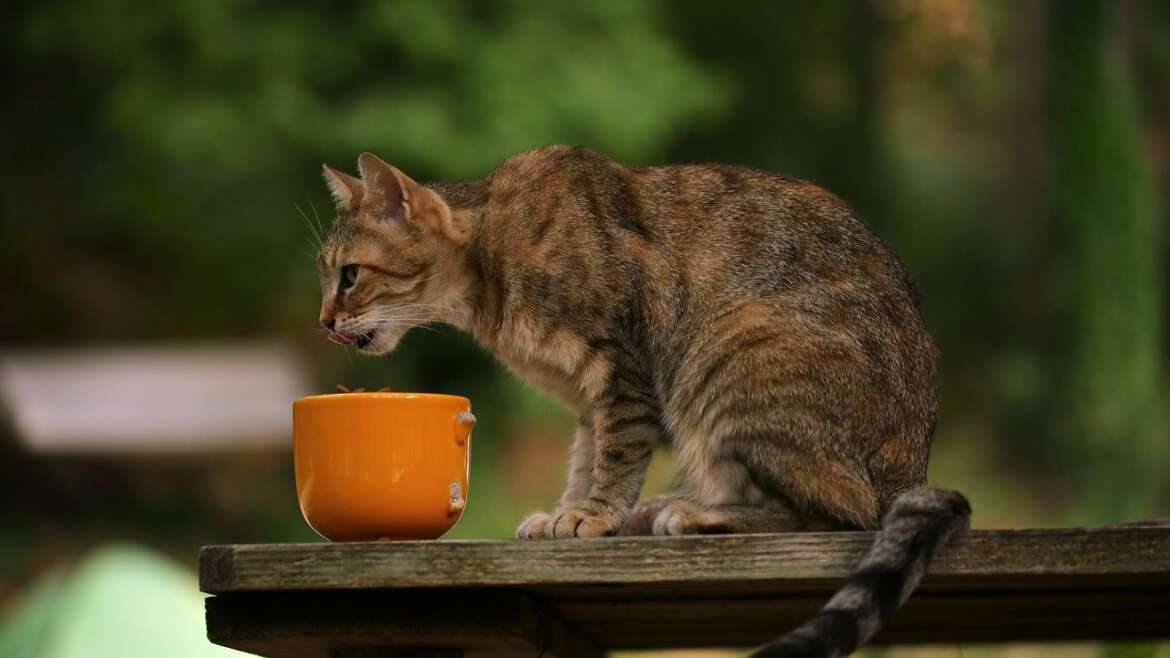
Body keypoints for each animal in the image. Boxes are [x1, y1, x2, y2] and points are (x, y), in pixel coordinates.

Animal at [311, 145, 968, 650]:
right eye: (328, 276)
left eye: (350, 275)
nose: (323, 321)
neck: (490, 266)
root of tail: (911, 469)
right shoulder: (587, 400)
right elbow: (584, 459)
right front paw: (569, 511)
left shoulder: (623, 368)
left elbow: (617, 456)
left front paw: (594, 515)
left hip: (735, 349)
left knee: (842, 511)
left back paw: (696, 513)